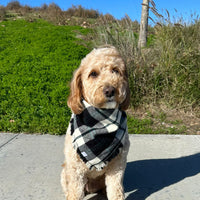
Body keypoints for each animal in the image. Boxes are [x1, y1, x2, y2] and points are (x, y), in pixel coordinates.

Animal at [60, 45, 130, 200]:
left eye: (115, 70)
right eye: (93, 74)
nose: (110, 90)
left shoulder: (118, 165)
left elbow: (115, 190)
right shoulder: (75, 169)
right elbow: (75, 193)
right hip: (65, 172)